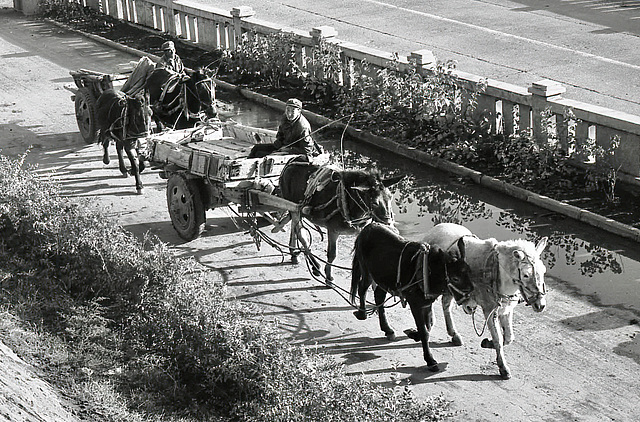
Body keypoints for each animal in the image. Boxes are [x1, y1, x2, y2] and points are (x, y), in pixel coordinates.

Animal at [350, 223, 476, 370]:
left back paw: (387, 329)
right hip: (367, 271)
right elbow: (424, 331)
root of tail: (369, 226)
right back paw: (362, 313)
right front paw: (430, 360)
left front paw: (413, 334)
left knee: (379, 296)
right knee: (362, 288)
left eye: (470, 273)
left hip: (382, 279)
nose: (471, 306)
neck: (428, 272)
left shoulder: (426, 303)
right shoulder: (415, 304)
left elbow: (428, 325)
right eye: (455, 278)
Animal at [422, 223, 548, 380]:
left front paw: (488, 343)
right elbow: (498, 339)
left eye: (543, 271)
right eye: (525, 275)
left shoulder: (506, 310)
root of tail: (437, 227)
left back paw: (454, 334)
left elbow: (509, 337)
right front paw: (503, 368)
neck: (499, 274)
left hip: (451, 289)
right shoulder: (489, 310)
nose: (540, 305)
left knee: (446, 305)